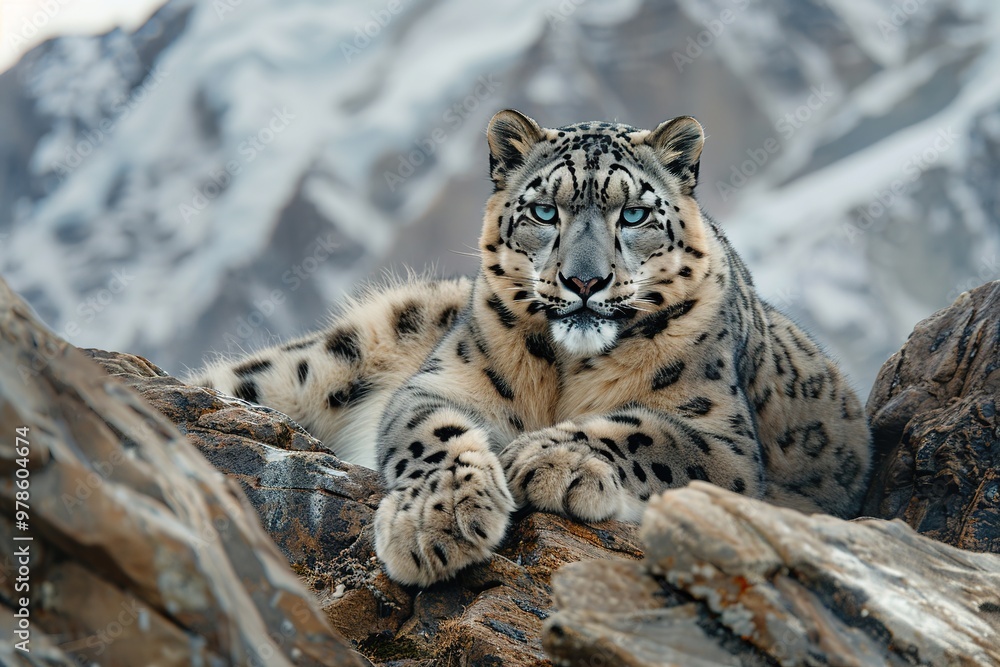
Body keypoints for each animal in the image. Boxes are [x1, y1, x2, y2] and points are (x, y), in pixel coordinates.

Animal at [188, 109, 872, 587]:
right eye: (545, 210)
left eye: (633, 216)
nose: (585, 280)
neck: (568, 372)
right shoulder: (443, 381)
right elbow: (431, 432)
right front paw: (436, 520)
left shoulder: (725, 440)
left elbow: (651, 433)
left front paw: (547, 457)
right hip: (335, 355)